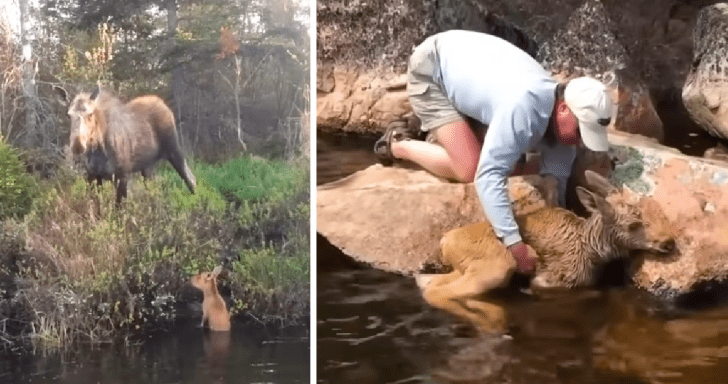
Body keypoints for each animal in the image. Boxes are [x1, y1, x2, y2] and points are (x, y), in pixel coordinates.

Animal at [68, 87, 196, 204]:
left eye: (90, 114)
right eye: (69, 115)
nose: (77, 145)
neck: (98, 149)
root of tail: (163, 103)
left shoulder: (123, 175)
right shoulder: (92, 176)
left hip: (174, 150)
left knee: (191, 179)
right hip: (147, 166)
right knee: (151, 188)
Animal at [418, 171, 680, 332]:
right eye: (634, 224)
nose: (669, 241)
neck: (594, 251)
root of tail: (445, 242)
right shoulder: (550, 281)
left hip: (465, 268)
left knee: (428, 282)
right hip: (498, 266)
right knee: (438, 292)